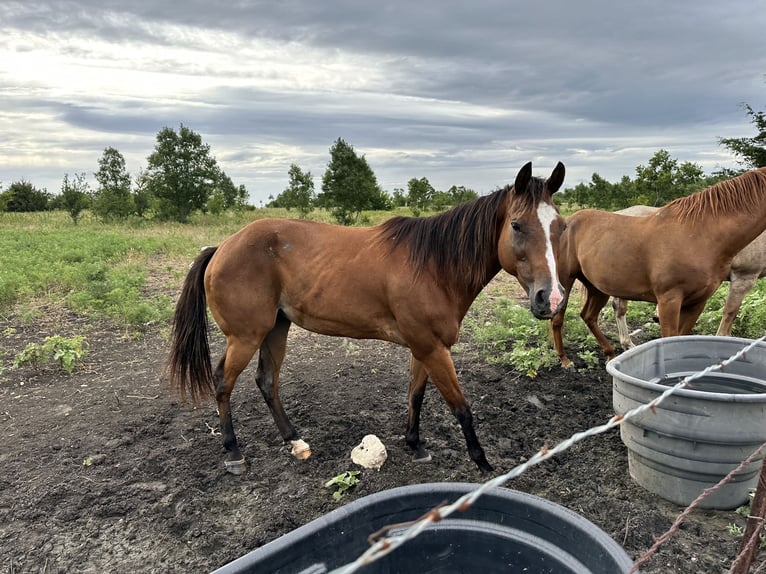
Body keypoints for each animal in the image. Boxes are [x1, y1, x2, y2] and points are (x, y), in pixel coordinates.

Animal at [168, 161, 568, 472]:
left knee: (267, 382)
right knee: (223, 383)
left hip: (275, 329)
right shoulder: (432, 348)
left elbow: (415, 395)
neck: (434, 267)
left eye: (560, 227)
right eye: (516, 225)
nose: (551, 298)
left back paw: (295, 442)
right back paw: (234, 453)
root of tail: (222, 247)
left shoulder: (425, 347)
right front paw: (482, 462)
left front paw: (415, 444)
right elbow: (461, 407)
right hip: (246, 336)